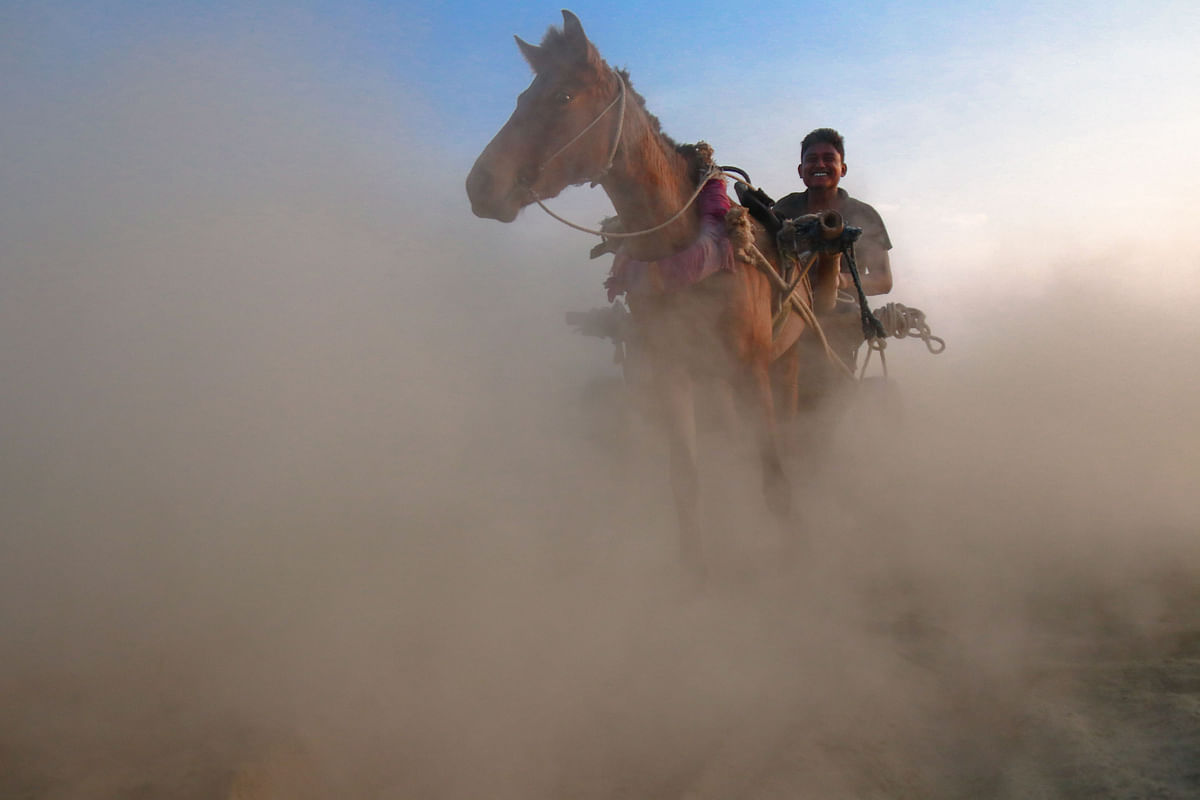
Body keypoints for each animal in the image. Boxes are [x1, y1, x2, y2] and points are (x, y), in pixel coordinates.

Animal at [465, 10, 825, 568]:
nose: (480, 185)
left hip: (785, 363)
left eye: (563, 96)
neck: (683, 244)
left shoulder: (753, 369)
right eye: (523, 96)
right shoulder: (670, 369)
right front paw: (695, 573)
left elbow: (775, 483)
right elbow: (686, 481)